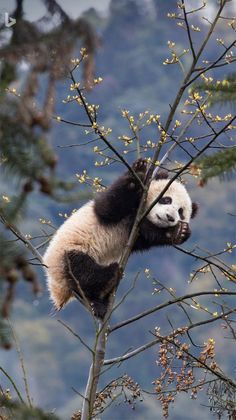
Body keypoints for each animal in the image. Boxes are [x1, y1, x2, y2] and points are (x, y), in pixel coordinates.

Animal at [43, 159, 197, 320]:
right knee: (83, 270)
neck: (140, 211)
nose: (170, 217)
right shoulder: (115, 209)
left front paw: (179, 232)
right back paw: (109, 279)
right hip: (68, 253)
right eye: (166, 199)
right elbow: (109, 207)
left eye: (180, 212)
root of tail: (58, 292)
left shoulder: (136, 229)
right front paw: (138, 172)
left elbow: (148, 235)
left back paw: (100, 302)